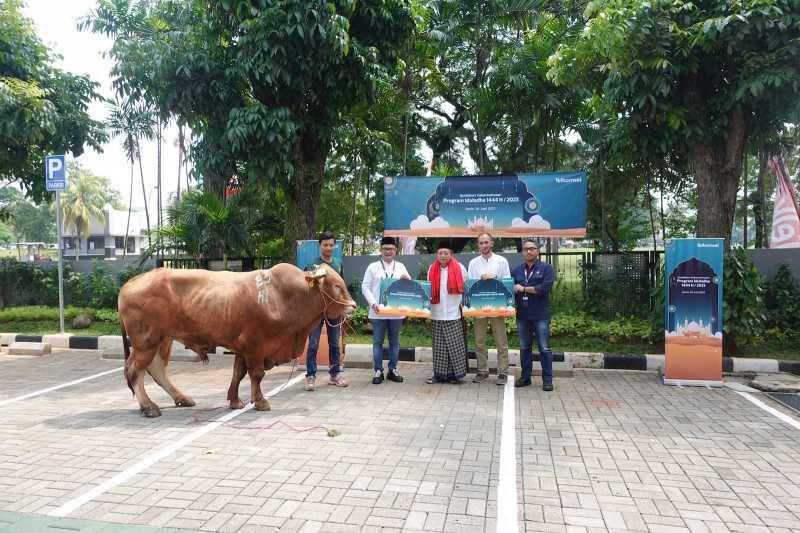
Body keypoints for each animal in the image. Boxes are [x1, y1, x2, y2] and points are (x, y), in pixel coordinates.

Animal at [117, 262, 354, 416]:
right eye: (336, 285)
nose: (353, 306)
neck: (282, 296)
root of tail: (130, 283)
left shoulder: (242, 347)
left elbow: (238, 374)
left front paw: (234, 400)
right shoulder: (255, 345)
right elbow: (256, 375)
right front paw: (260, 402)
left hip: (162, 339)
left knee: (156, 369)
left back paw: (181, 398)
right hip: (145, 341)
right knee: (135, 371)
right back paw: (148, 407)